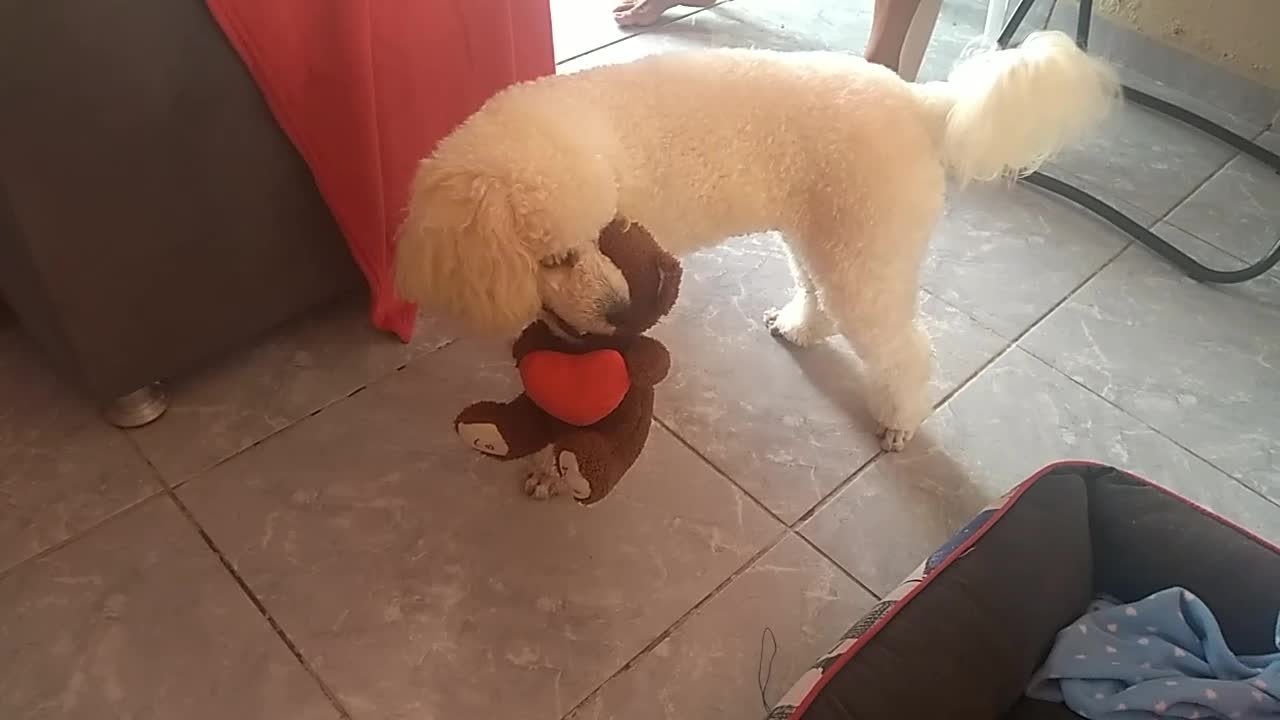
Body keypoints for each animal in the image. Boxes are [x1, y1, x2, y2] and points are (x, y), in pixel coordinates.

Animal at [394, 32, 1116, 453]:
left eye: (605, 233)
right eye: (555, 257)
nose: (620, 312)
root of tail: (918, 102)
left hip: (866, 246)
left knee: (903, 349)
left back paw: (900, 418)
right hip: (823, 234)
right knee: (822, 299)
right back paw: (800, 328)